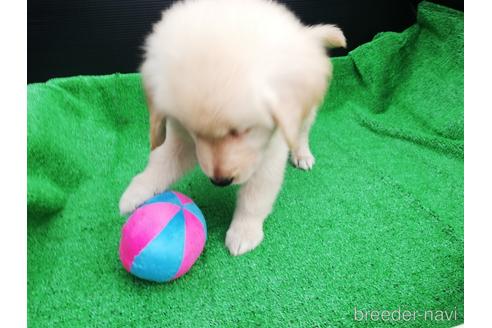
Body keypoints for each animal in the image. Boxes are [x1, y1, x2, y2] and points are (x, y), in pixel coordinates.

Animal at [118, 0, 346, 256]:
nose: (220, 181)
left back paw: (302, 154)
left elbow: (256, 195)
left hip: (304, 113)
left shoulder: (269, 151)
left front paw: (244, 231)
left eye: (242, 131)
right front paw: (136, 192)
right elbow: (162, 163)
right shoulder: (182, 139)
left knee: (302, 133)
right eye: (194, 132)